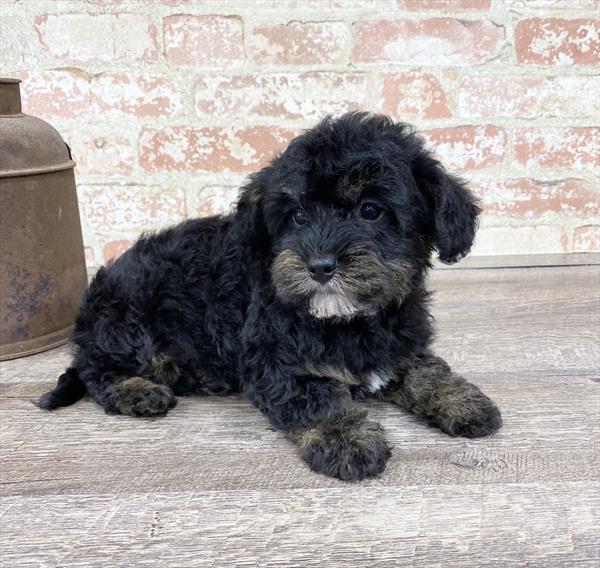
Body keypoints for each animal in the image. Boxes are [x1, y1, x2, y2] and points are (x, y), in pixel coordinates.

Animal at [38, 111, 502, 480]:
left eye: (371, 210)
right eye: (296, 216)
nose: (319, 266)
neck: (348, 320)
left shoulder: (400, 341)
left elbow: (428, 369)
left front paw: (464, 401)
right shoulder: (272, 364)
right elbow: (317, 400)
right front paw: (348, 441)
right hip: (130, 325)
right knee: (95, 369)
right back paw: (137, 392)